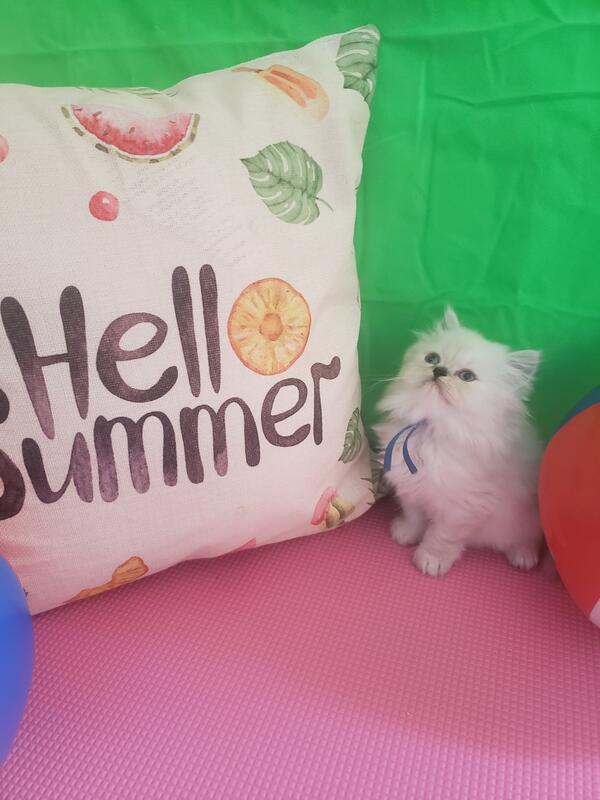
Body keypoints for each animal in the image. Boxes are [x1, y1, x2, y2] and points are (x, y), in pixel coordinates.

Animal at [375, 308, 543, 577]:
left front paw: (431, 560)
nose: (439, 370)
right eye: (432, 358)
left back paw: (523, 556)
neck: (432, 430)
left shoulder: (461, 508)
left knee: (528, 538)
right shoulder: (410, 487)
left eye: (466, 376)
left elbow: (441, 536)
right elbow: (413, 516)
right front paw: (406, 534)